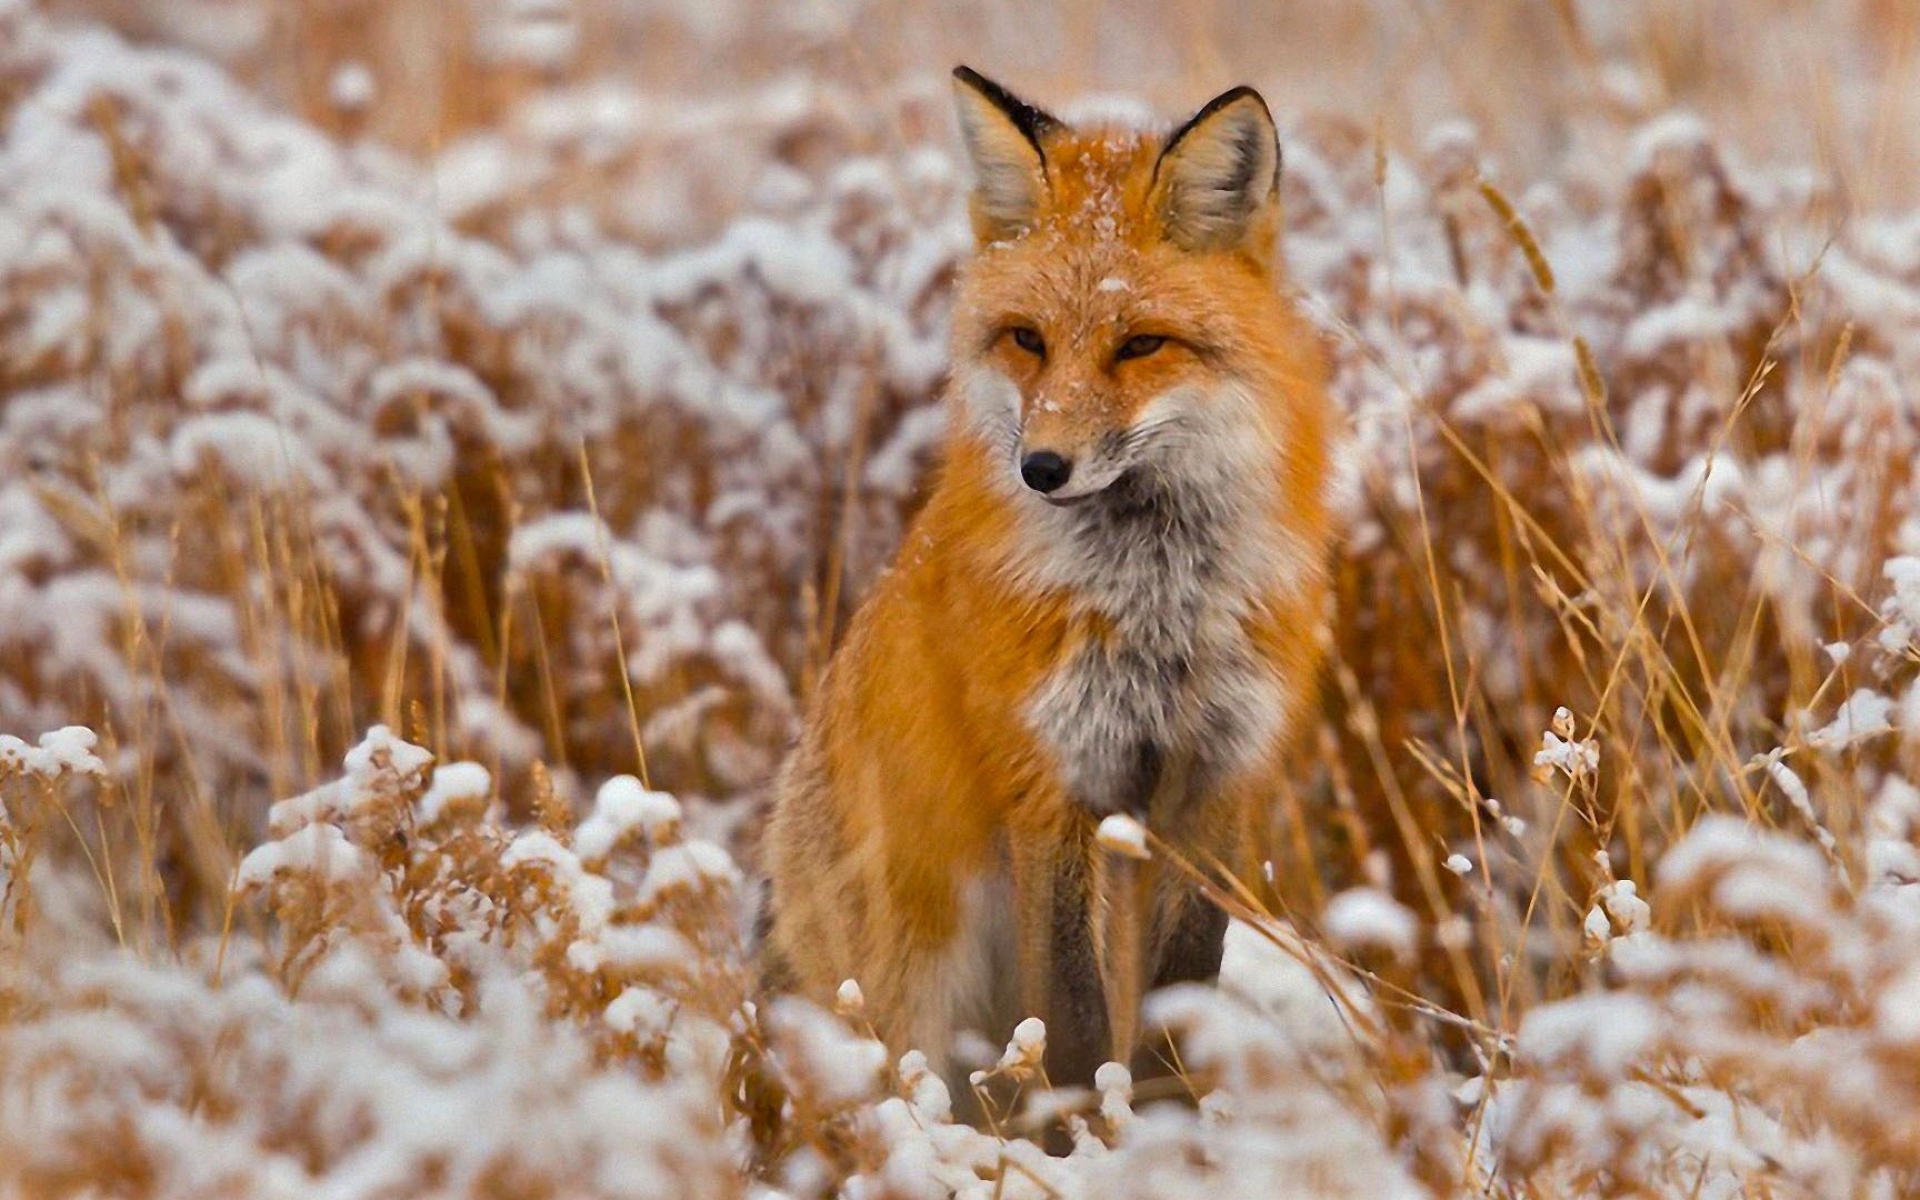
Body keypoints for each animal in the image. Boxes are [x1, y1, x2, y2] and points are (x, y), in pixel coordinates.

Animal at [761, 66, 1335, 1090]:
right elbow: (1067, 1018)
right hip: (915, 983)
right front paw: (1079, 1119)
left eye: (1141, 344)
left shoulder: (1217, 780)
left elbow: (1180, 995)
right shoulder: (1050, 780)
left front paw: (1166, 1118)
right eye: (1027, 339)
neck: (1158, 603)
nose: (1042, 467)